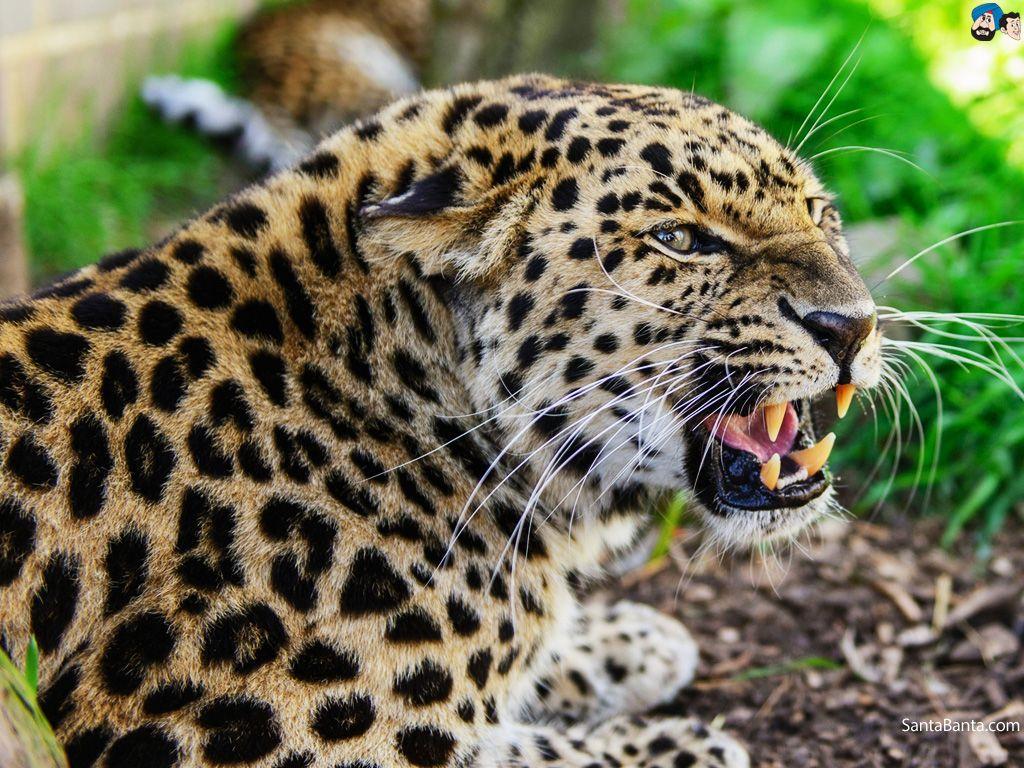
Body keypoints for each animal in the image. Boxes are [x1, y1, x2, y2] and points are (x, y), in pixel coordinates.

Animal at [0, 73, 883, 768]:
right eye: (680, 239)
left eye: (820, 213)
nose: (853, 325)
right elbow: (515, 753)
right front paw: (675, 745)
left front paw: (627, 642)